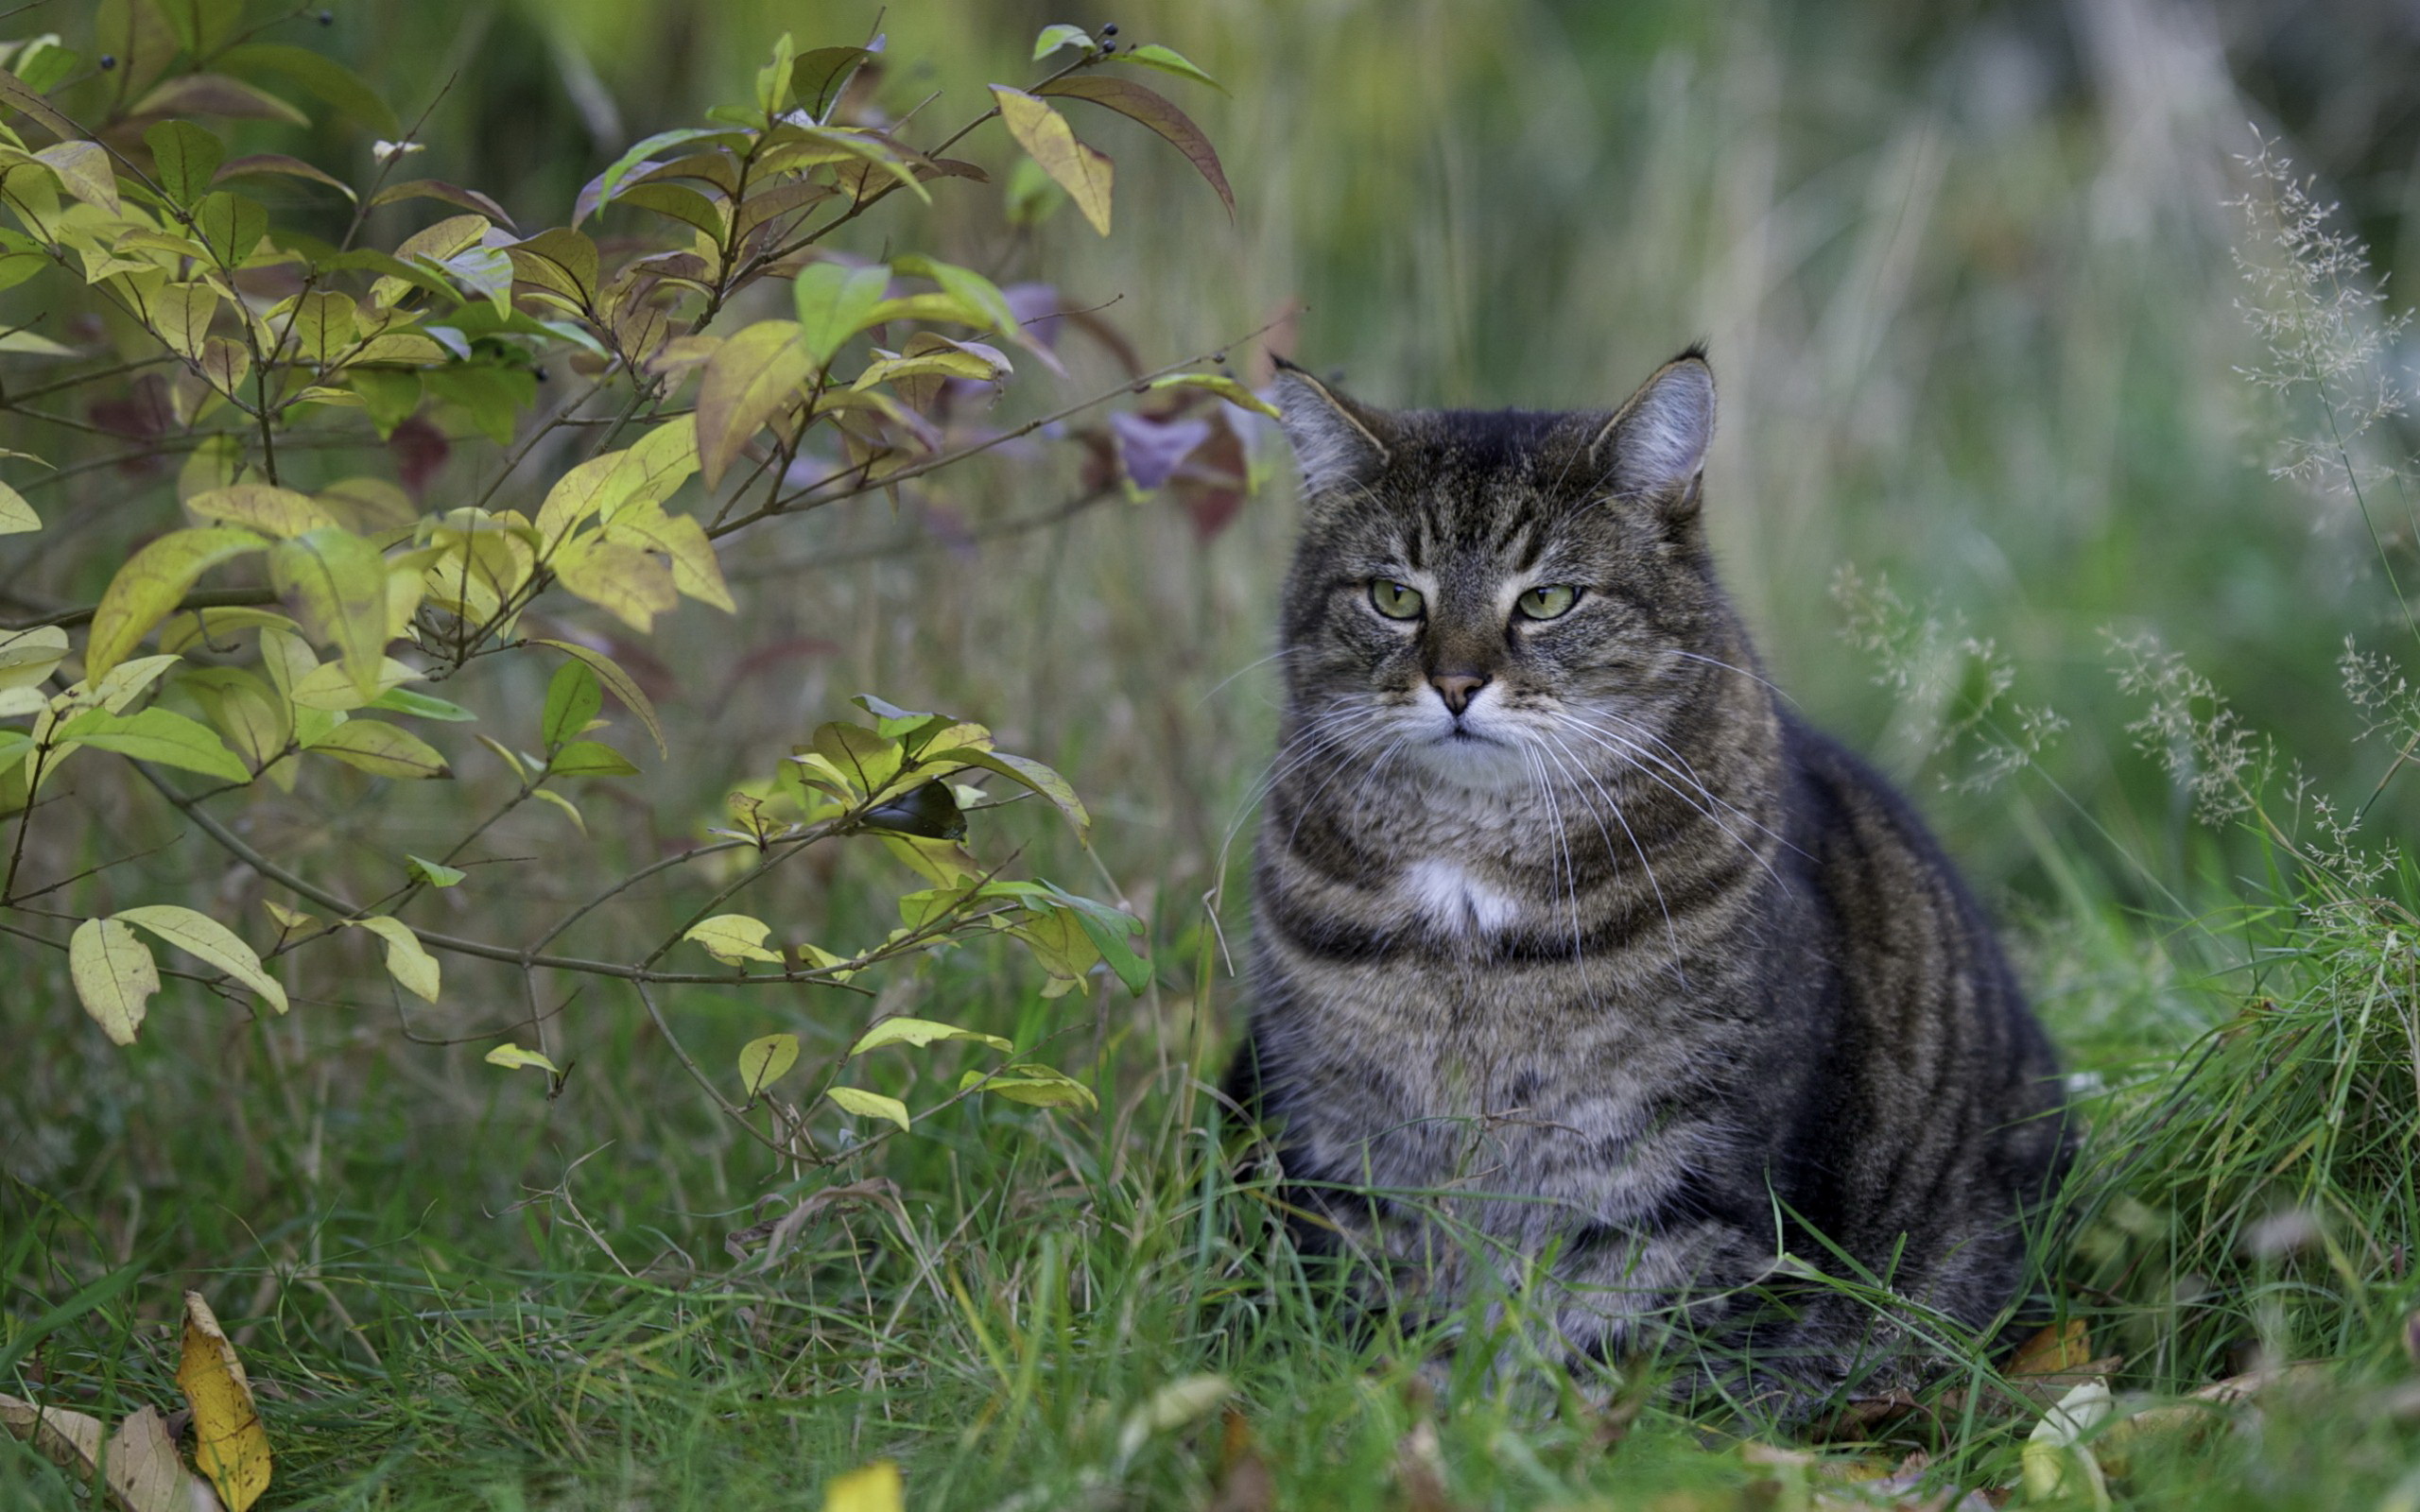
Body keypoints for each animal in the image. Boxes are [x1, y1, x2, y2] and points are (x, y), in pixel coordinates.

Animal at [1238, 348, 2071, 1413]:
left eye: (1547, 600)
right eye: (1393, 597)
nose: (1456, 683)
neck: (1467, 882)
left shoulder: (1681, 1177)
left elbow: (1622, 1355)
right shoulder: (1351, 1152)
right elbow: (1389, 1318)